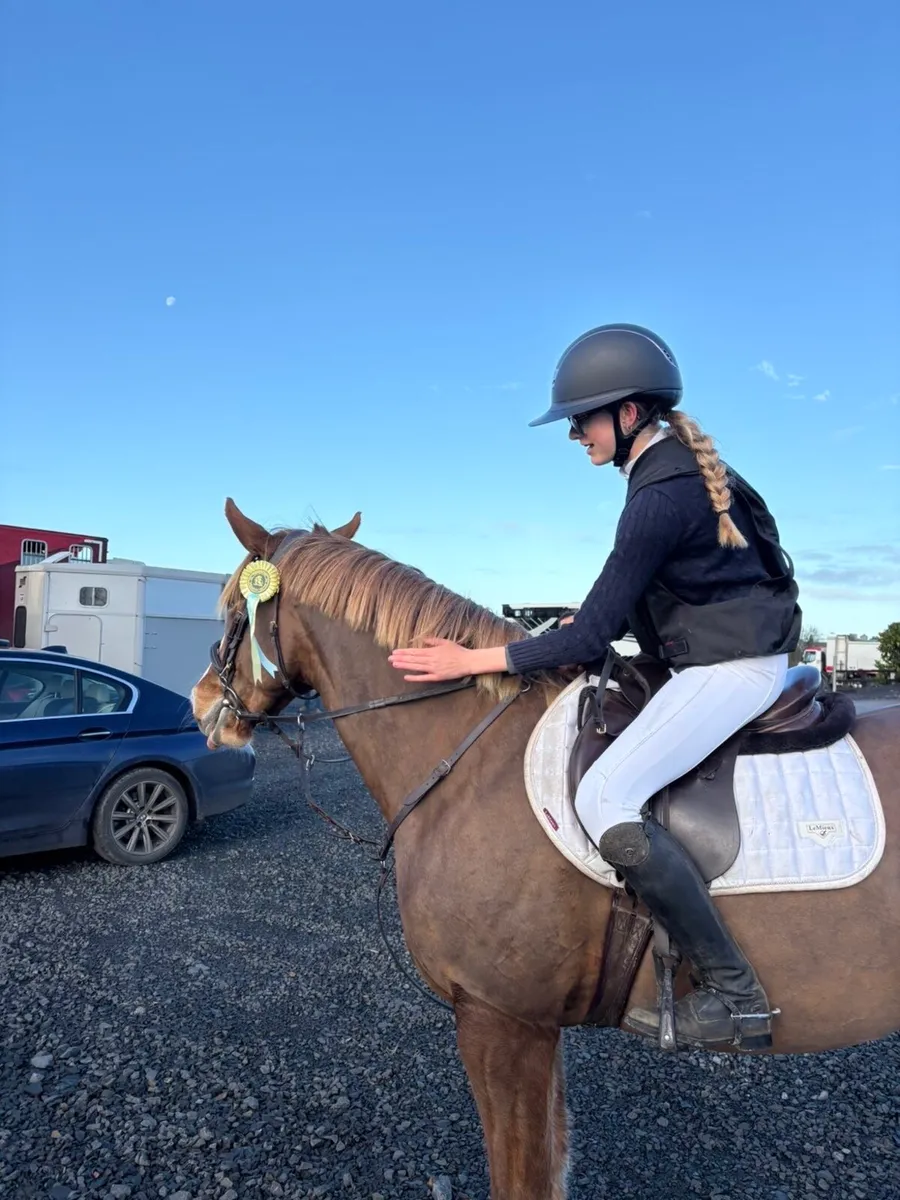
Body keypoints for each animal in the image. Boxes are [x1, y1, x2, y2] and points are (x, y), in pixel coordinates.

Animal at [191, 499, 900, 1200]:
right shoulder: (533, 1026)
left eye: (232, 610)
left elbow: (521, 1178)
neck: (475, 761)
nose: (201, 705)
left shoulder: (499, 1020)